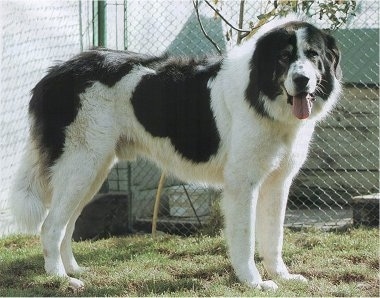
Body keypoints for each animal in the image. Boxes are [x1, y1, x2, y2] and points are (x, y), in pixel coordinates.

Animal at [10, 15, 342, 290]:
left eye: (312, 55)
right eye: (284, 57)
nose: (302, 80)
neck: (261, 91)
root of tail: (55, 72)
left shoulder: (277, 184)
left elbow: (274, 238)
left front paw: (282, 276)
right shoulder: (242, 185)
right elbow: (246, 239)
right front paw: (253, 282)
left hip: (91, 171)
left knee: (67, 225)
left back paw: (73, 270)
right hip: (81, 166)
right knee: (51, 226)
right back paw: (59, 279)